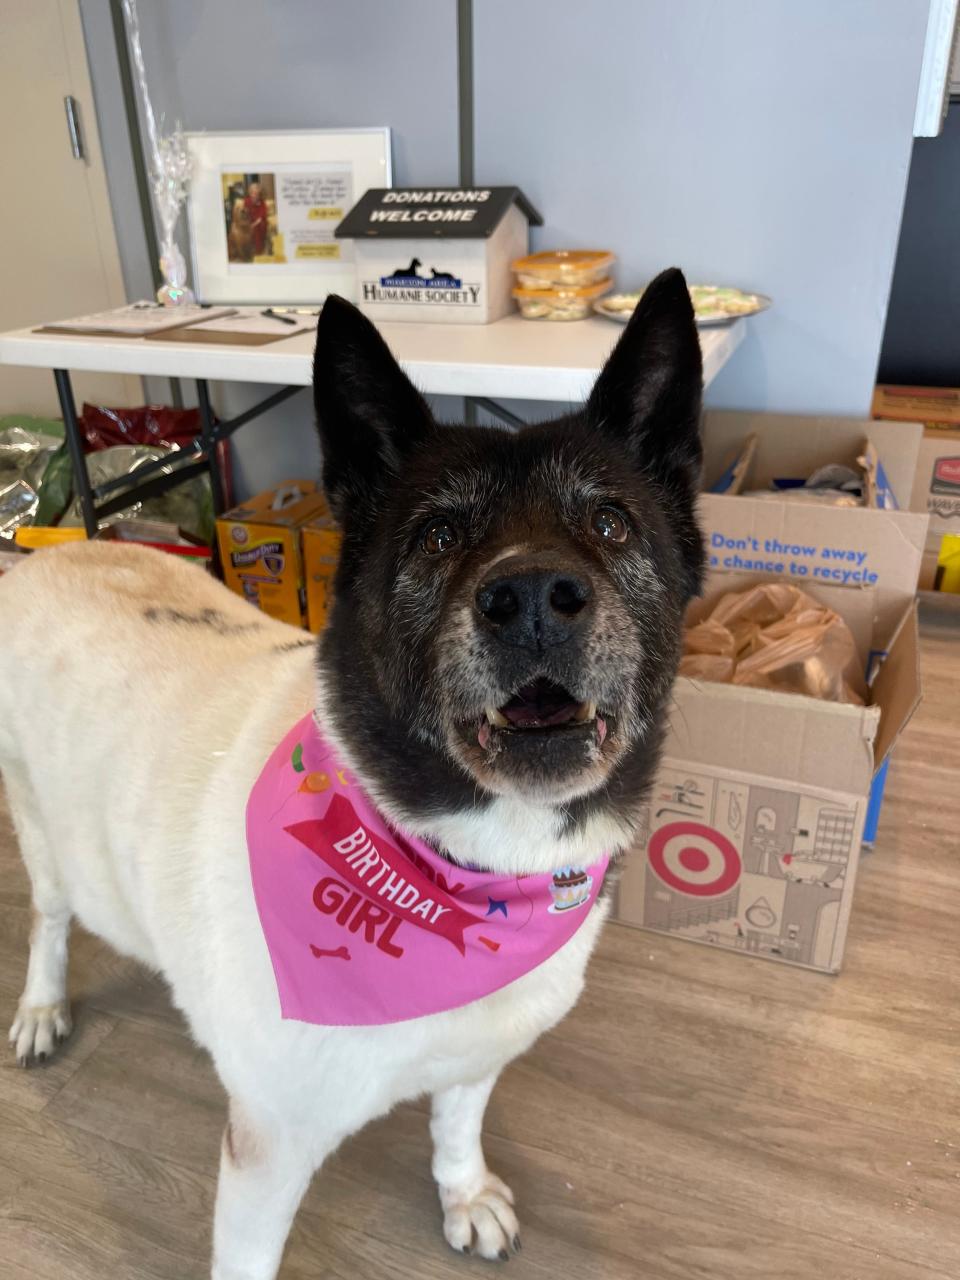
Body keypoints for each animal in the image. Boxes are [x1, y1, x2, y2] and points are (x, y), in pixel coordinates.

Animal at [0, 264, 706, 1274]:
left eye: (610, 523)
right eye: (438, 538)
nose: (534, 597)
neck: (462, 866)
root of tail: (58, 556)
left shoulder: (476, 1056)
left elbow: (456, 1127)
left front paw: (462, 1194)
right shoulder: (267, 1152)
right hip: (44, 828)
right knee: (50, 919)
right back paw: (41, 1006)